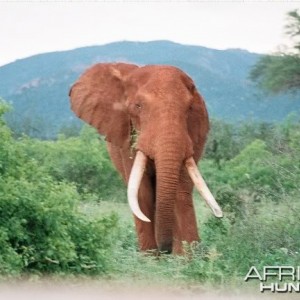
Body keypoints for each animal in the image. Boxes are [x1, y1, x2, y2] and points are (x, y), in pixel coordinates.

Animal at [68, 62, 223, 253]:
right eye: (138, 107)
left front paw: (188, 257)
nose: (166, 250)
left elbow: (181, 191)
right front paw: (151, 256)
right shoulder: (127, 139)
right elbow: (142, 193)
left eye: (189, 109)